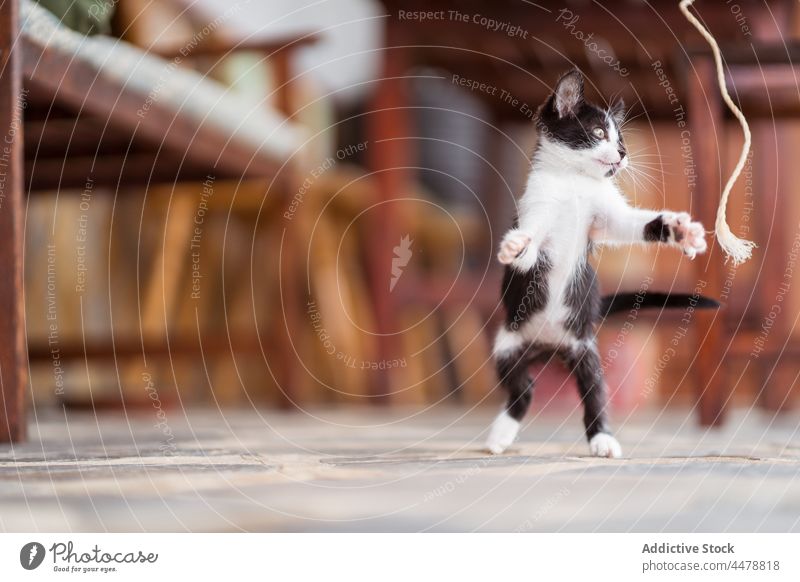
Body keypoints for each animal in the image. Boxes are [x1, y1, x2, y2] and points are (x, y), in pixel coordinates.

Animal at [488, 69, 708, 460]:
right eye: (598, 133)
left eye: (620, 139)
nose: (622, 153)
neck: (574, 183)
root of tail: (550, 347)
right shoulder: (536, 207)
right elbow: (530, 248)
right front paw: (516, 246)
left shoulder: (605, 217)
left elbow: (634, 224)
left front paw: (679, 231)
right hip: (507, 346)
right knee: (523, 388)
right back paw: (501, 433)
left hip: (586, 350)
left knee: (594, 392)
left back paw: (602, 438)